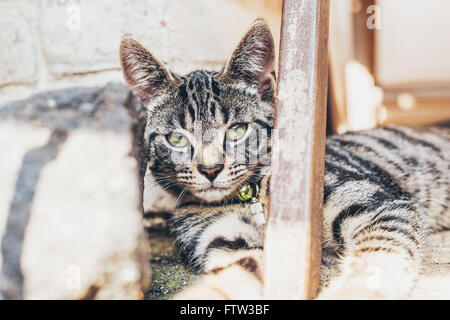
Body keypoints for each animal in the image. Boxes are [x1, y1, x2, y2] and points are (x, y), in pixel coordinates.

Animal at [119, 18, 450, 298]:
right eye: (176, 138)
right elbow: (233, 277)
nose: (210, 169)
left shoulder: (379, 207)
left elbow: (376, 260)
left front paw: (352, 290)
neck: (249, 200)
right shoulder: (226, 245)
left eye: (237, 130)